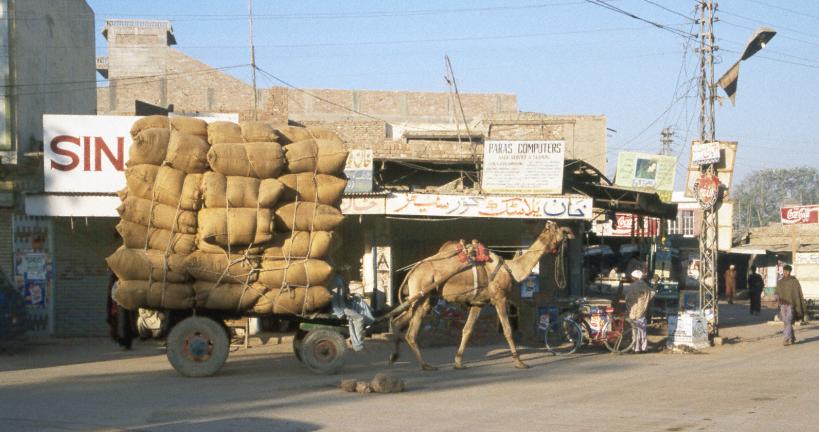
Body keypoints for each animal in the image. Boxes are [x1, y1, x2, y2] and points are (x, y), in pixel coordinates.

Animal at [392, 221, 576, 370]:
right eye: (561, 232)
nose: (570, 233)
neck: (511, 269)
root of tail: (412, 271)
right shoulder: (499, 298)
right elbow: (508, 330)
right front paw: (519, 362)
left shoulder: (478, 302)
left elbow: (467, 330)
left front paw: (458, 363)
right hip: (422, 292)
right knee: (409, 330)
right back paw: (421, 364)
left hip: (426, 298)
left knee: (400, 322)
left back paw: (399, 358)